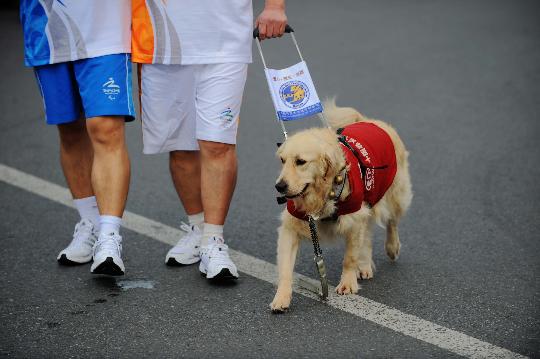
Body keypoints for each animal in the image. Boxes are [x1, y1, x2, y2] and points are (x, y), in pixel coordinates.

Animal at [270, 100, 414, 312]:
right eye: (282, 160)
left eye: (301, 161)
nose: (279, 186)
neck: (322, 193)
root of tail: (369, 121)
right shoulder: (291, 226)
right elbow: (285, 268)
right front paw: (281, 298)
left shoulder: (354, 219)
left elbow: (349, 258)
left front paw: (347, 284)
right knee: (368, 235)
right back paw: (365, 266)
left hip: (394, 194)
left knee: (392, 221)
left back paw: (392, 247)